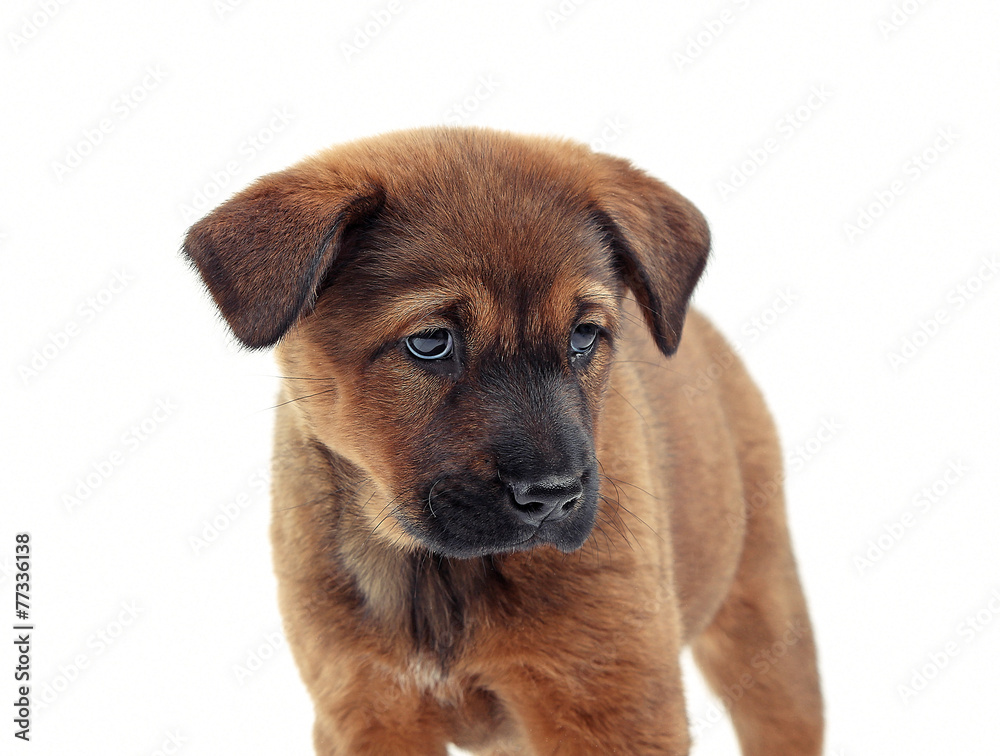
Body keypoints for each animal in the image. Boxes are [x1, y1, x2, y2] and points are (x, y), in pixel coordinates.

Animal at [186, 127, 820, 752]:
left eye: (584, 335)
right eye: (430, 342)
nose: (553, 497)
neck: (437, 575)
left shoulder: (614, 703)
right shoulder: (364, 710)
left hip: (768, 625)